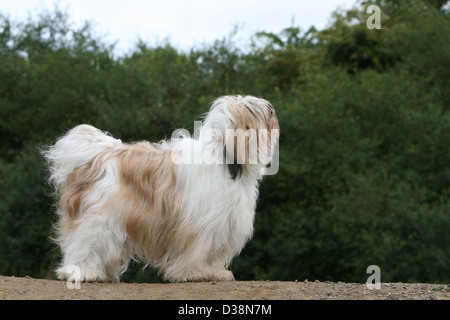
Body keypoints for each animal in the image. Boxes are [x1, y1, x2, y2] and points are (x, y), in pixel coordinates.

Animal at [44, 95, 280, 282]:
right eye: (252, 109)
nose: (271, 107)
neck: (224, 160)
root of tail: (97, 156)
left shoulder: (222, 225)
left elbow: (212, 255)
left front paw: (214, 272)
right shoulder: (198, 225)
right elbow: (195, 252)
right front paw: (194, 272)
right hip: (97, 217)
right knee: (84, 242)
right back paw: (83, 272)